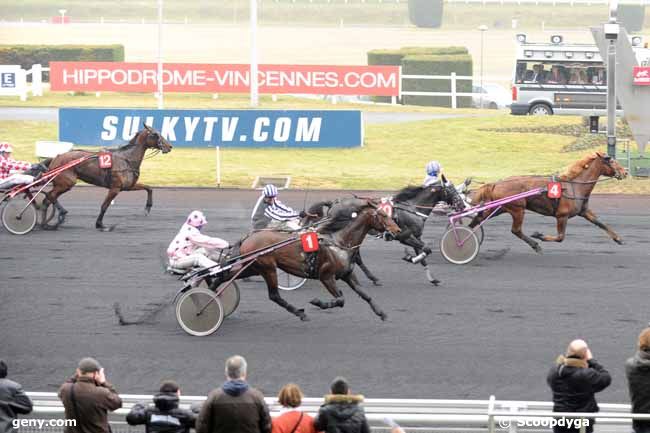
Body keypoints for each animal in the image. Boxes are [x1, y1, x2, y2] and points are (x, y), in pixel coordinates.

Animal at [39, 123, 172, 230]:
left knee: (47, 200)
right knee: (50, 196)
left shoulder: (128, 186)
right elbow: (105, 206)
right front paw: (100, 224)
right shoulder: (115, 188)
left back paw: (45, 224)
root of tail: (56, 157)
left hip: (62, 184)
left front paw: (148, 207)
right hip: (66, 183)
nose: (169, 146)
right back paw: (60, 214)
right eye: (155, 134)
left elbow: (149, 188)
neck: (127, 159)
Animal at [238, 202, 400, 320]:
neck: (339, 243)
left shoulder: (347, 275)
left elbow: (365, 295)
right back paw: (300, 313)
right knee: (274, 295)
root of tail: (248, 238)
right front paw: (319, 302)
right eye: (383, 215)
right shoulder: (326, 276)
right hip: (268, 268)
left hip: (254, 267)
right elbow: (340, 299)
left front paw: (381, 313)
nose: (397, 230)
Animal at [438, 152, 624, 264]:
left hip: (500, 207)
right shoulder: (562, 216)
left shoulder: (583, 211)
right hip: (517, 209)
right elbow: (560, 237)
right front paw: (539, 235)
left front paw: (618, 239)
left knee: (478, 218)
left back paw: (466, 234)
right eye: (611, 160)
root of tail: (497, 182)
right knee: (515, 230)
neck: (574, 186)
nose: (625, 172)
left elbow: (601, 223)